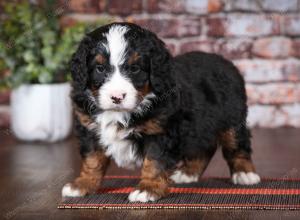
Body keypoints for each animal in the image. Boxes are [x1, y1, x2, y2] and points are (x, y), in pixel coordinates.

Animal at [61, 22, 260, 203]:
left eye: (135, 69)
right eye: (100, 69)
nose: (117, 97)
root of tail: (224, 61)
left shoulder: (161, 131)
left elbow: (154, 162)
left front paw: (148, 189)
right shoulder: (88, 129)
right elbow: (92, 160)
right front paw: (83, 184)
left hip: (233, 118)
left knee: (237, 145)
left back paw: (244, 173)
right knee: (203, 148)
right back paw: (189, 173)